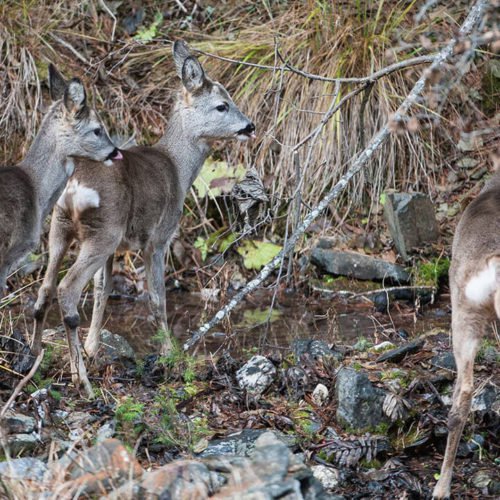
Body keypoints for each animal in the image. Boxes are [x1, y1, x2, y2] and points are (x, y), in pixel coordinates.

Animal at [32, 41, 254, 396]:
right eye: (222, 105)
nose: (250, 126)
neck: (178, 169)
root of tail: (75, 184)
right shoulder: (159, 238)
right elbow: (157, 297)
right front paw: (170, 354)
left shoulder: (116, 247)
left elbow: (104, 290)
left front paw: (93, 347)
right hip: (103, 231)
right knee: (67, 289)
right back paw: (81, 380)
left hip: (61, 227)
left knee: (46, 287)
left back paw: (35, 356)